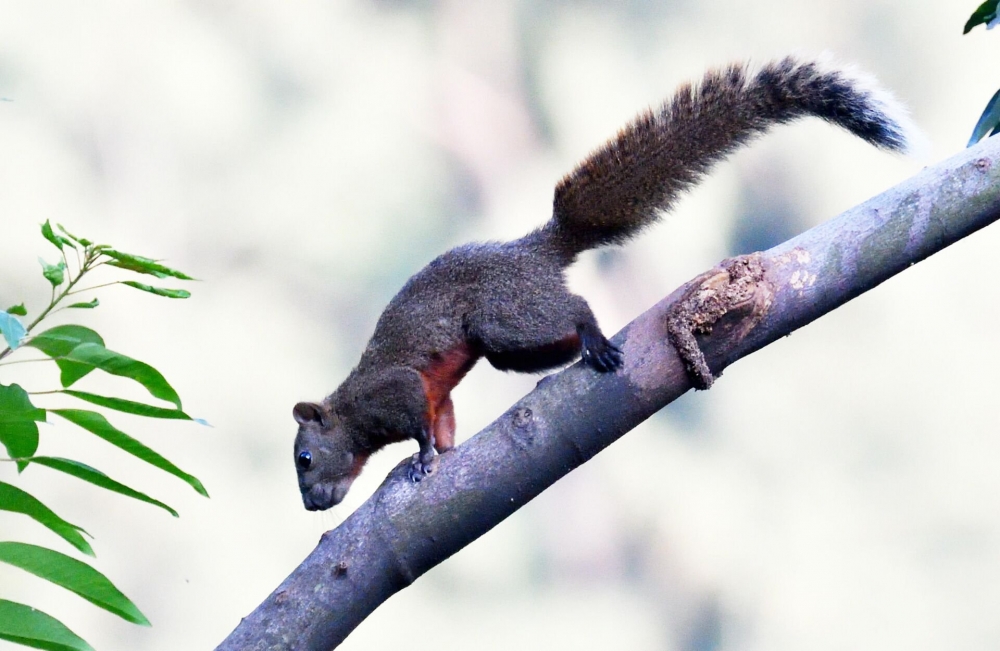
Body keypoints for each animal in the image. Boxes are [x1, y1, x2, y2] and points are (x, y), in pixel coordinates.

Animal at [292, 57, 916, 510]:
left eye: (304, 459)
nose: (311, 507)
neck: (349, 414)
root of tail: (535, 250)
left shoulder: (390, 391)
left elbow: (416, 419)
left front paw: (420, 456)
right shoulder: (434, 395)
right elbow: (441, 420)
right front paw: (441, 451)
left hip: (505, 317)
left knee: (573, 306)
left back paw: (593, 333)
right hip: (508, 346)